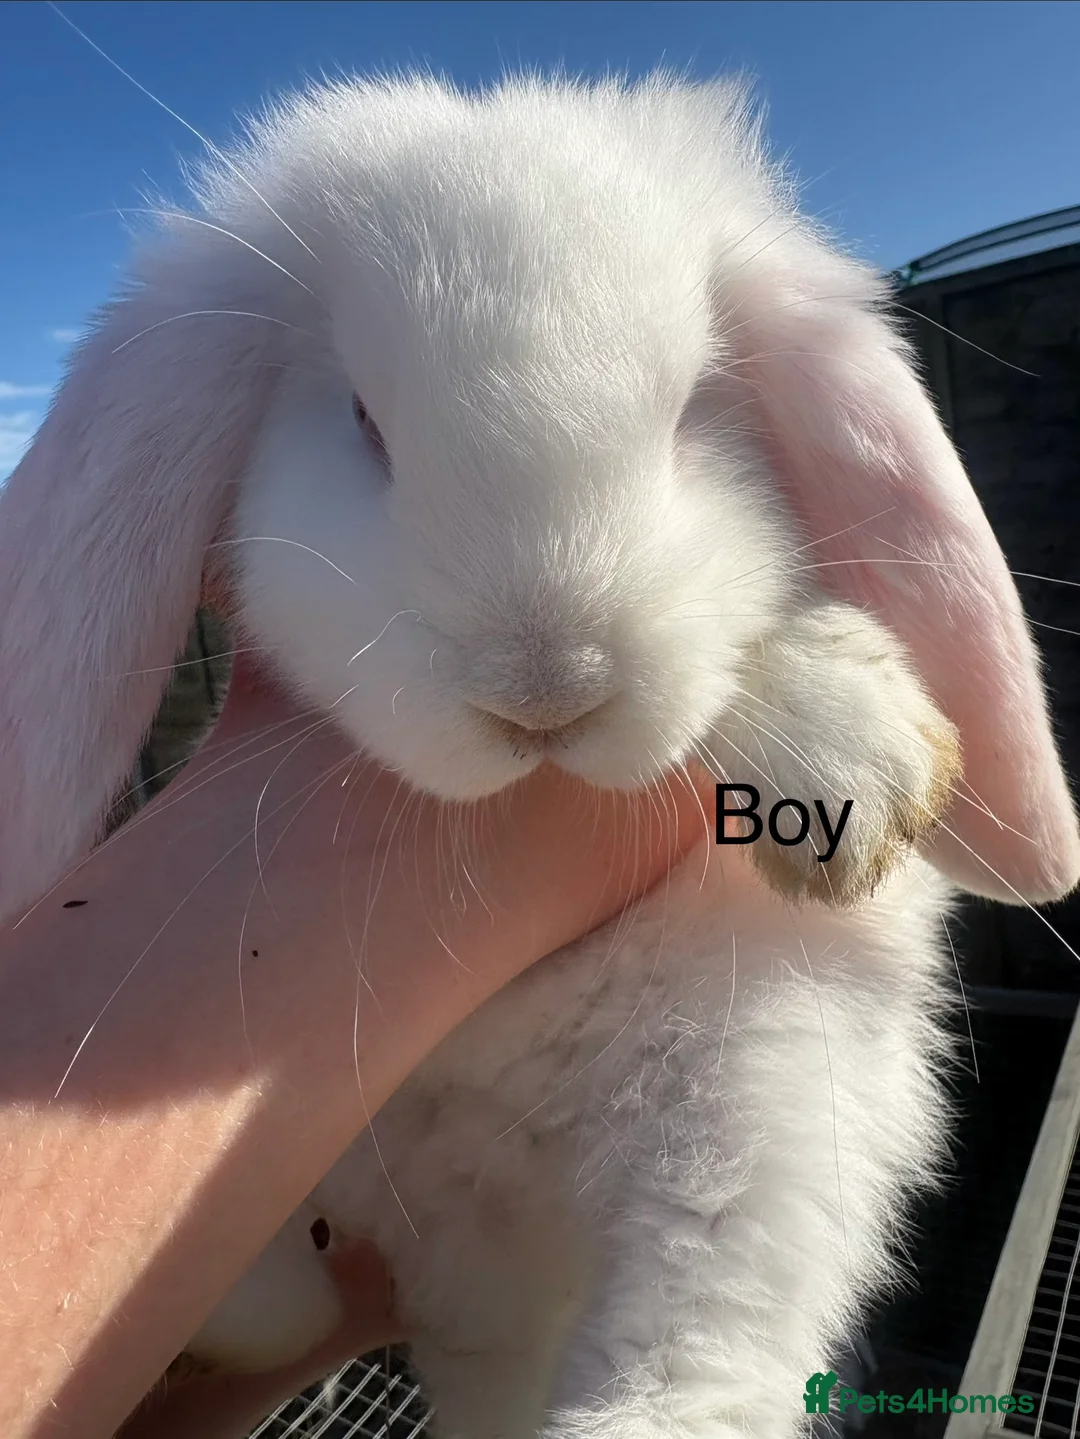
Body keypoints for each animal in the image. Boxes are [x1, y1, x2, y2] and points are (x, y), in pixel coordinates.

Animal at [2, 71, 1078, 1439]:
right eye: (365, 421)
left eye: (692, 410)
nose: (546, 693)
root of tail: (476, 1281)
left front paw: (849, 750)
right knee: (287, 1298)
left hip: (766, 1089)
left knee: (698, 1351)